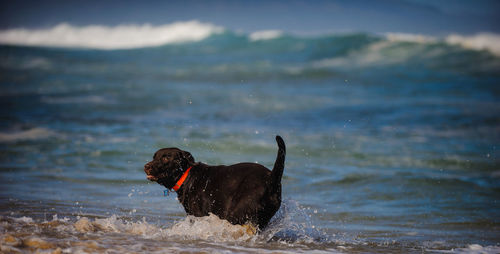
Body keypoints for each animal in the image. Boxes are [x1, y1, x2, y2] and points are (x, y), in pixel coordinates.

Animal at [145, 136, 286, 229]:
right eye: (154, 157)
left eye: (166, 158)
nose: (146, 166)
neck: (187, 176)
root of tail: (271, 178)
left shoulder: (198, 215)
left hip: (236, 214)